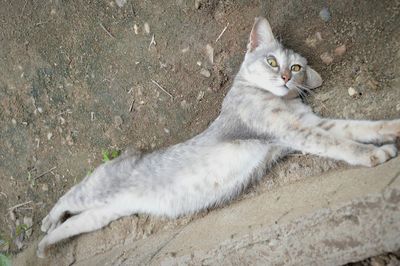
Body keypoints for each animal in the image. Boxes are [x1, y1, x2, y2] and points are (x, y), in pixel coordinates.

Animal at [36, 17, 400, 258]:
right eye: (271, 61)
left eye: (295, 68)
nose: (285, 77)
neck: (281, 101)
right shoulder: (292, 131)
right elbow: (340, 143)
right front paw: (373, 155)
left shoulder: (308, 125)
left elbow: (358, 127)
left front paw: (392, 129)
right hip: (95, 191)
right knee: (66, 198)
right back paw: (46, 225)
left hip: (103, 215)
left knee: (73, 224)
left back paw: (45, 245)